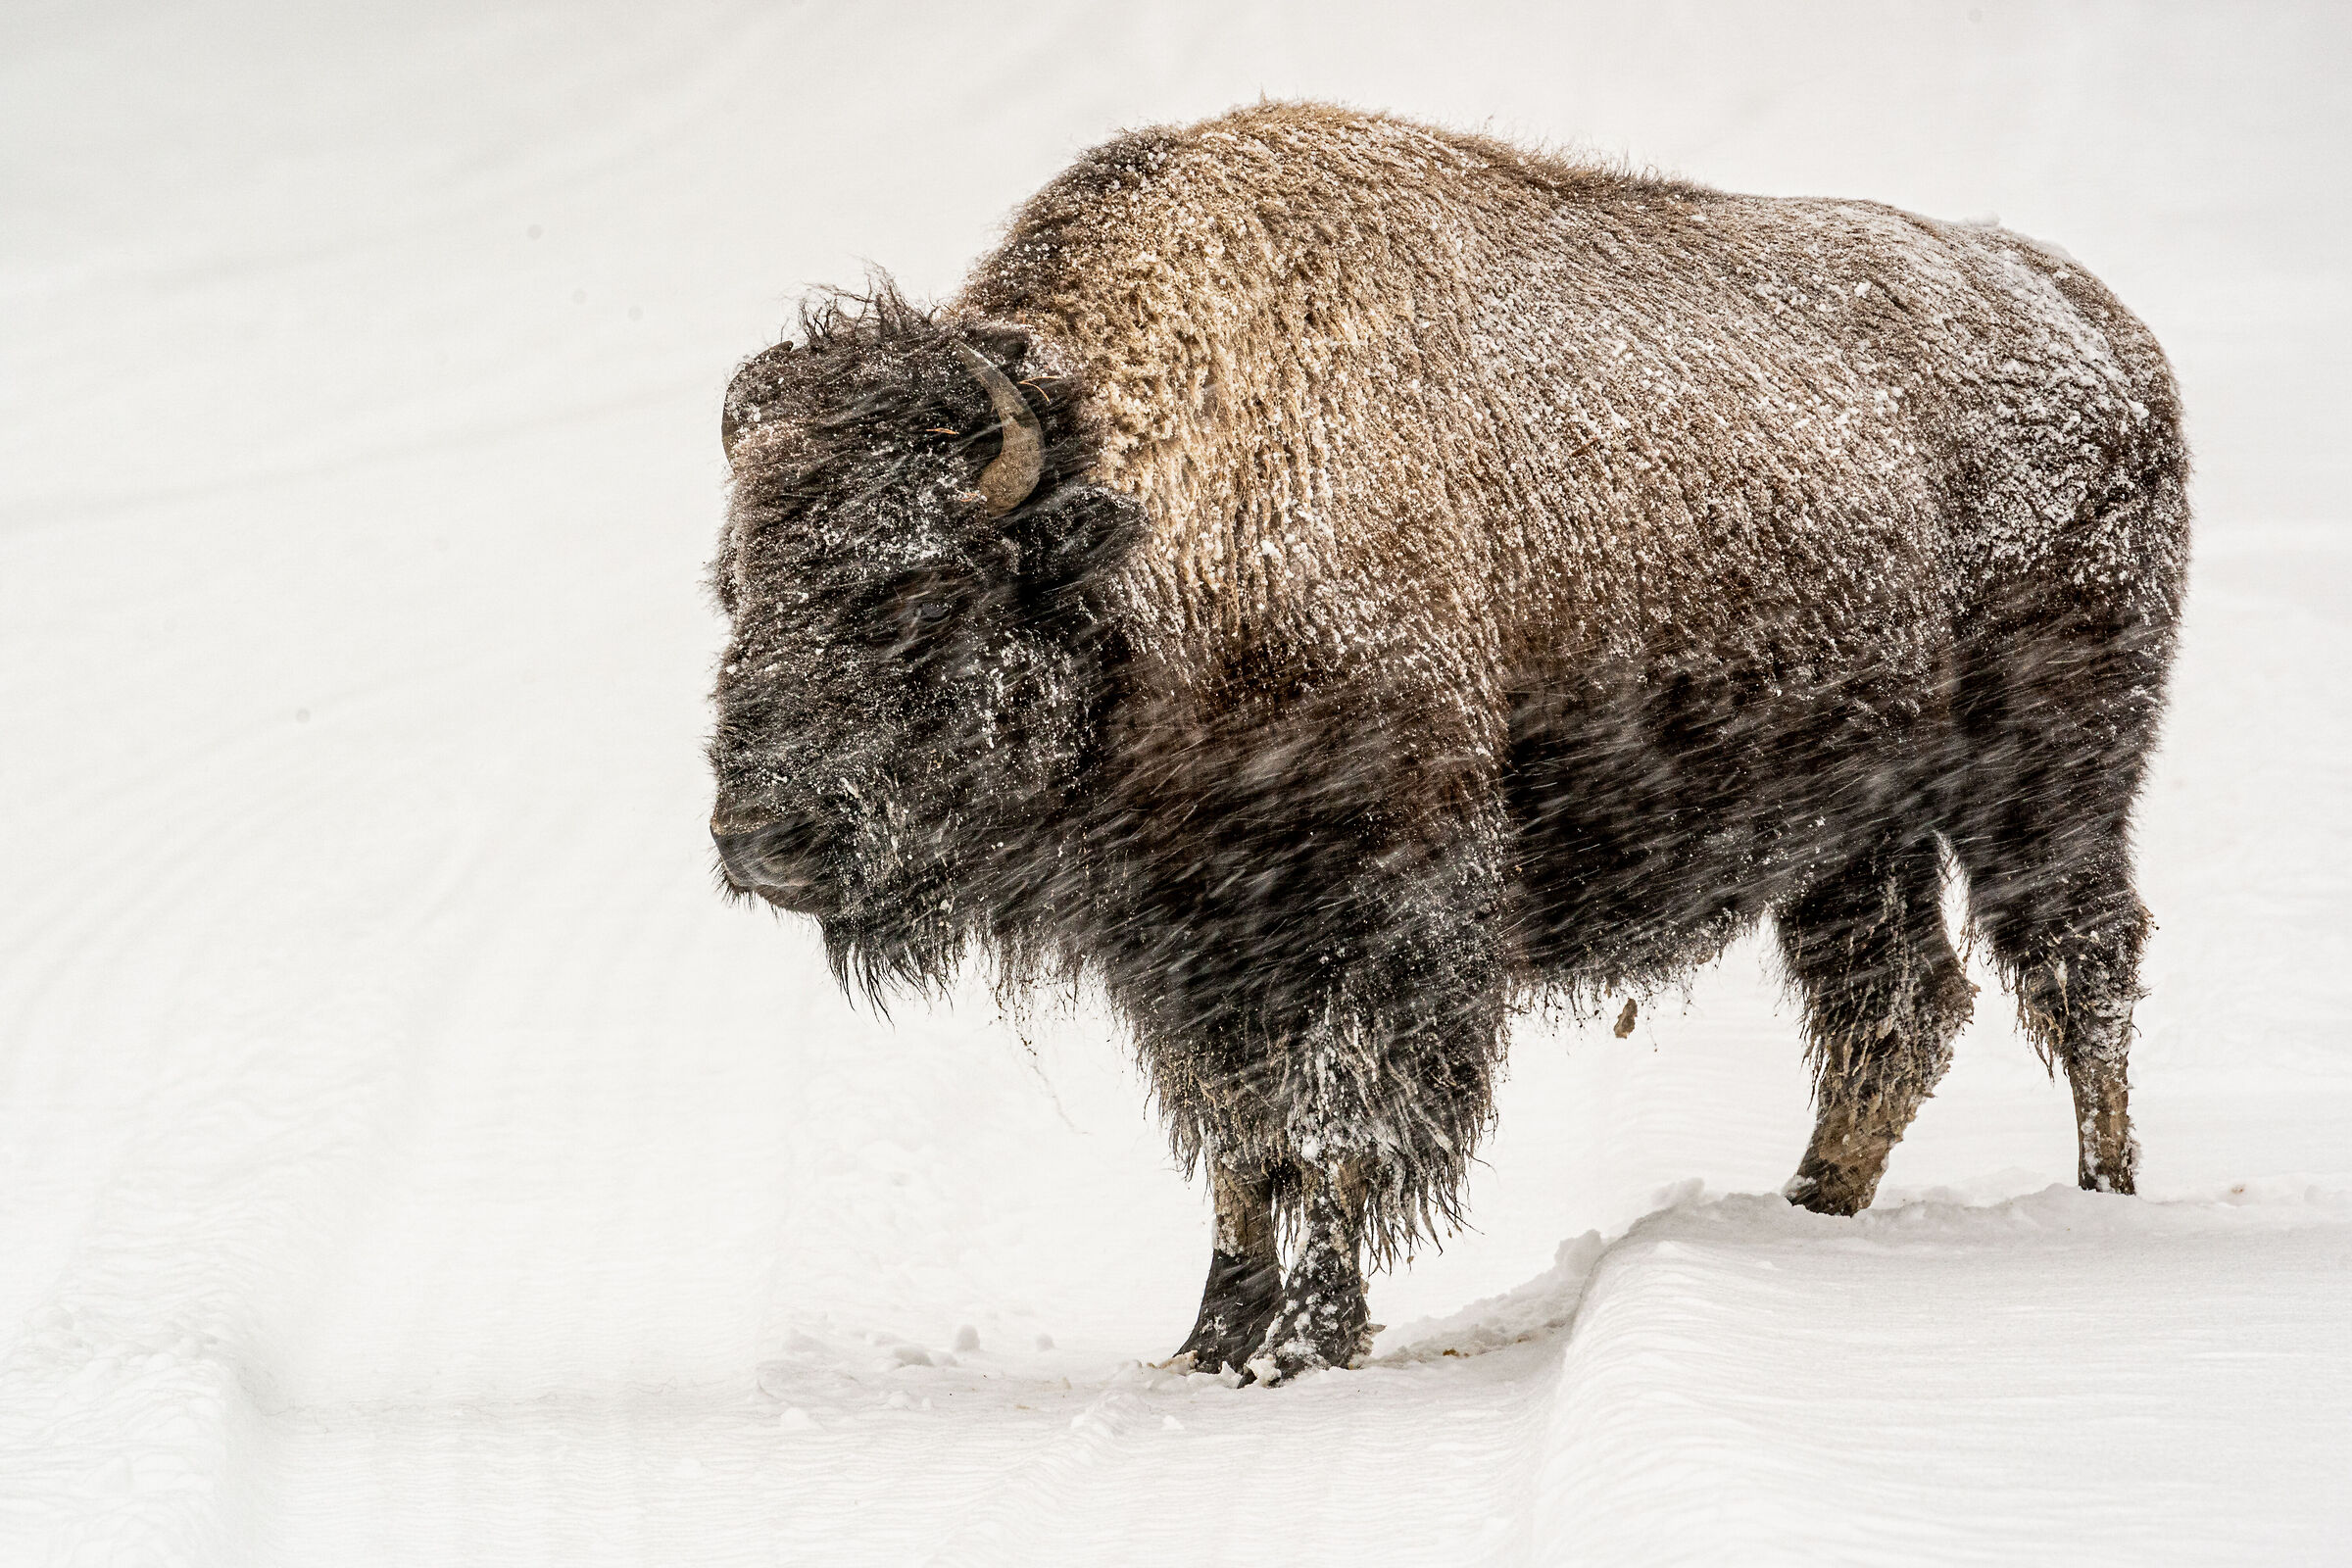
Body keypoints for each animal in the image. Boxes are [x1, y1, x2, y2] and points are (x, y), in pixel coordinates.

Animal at [708, 103, 2189, 1381]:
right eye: (737, 586)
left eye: (918, 592)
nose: (759, 837)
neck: (1170, 506)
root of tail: (2109, 334)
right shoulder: (1190, 950)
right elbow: (1243, 1138)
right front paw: (1212, 1344)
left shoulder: (1377, 916)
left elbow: (1336, 1127)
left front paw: (1309, 1345)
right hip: (1854, 832)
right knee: (1898, 1006)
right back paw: (1810, 1208)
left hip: (2050, 777)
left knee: (2079, 964)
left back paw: (2102, 1204)